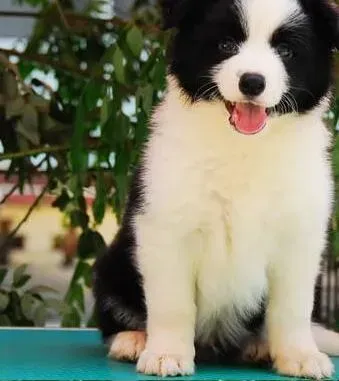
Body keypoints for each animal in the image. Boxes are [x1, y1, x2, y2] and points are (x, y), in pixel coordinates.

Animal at [94, 0, 339, 378]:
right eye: (225, 44)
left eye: (286, 51)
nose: (252, 82)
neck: (242, 145)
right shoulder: (165, 228)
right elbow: (172, 303)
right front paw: (166, 354)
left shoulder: (299, 237)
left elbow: (293, 307)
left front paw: (300, 356)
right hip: (113, 264)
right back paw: (132, 339)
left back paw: (258, 346)